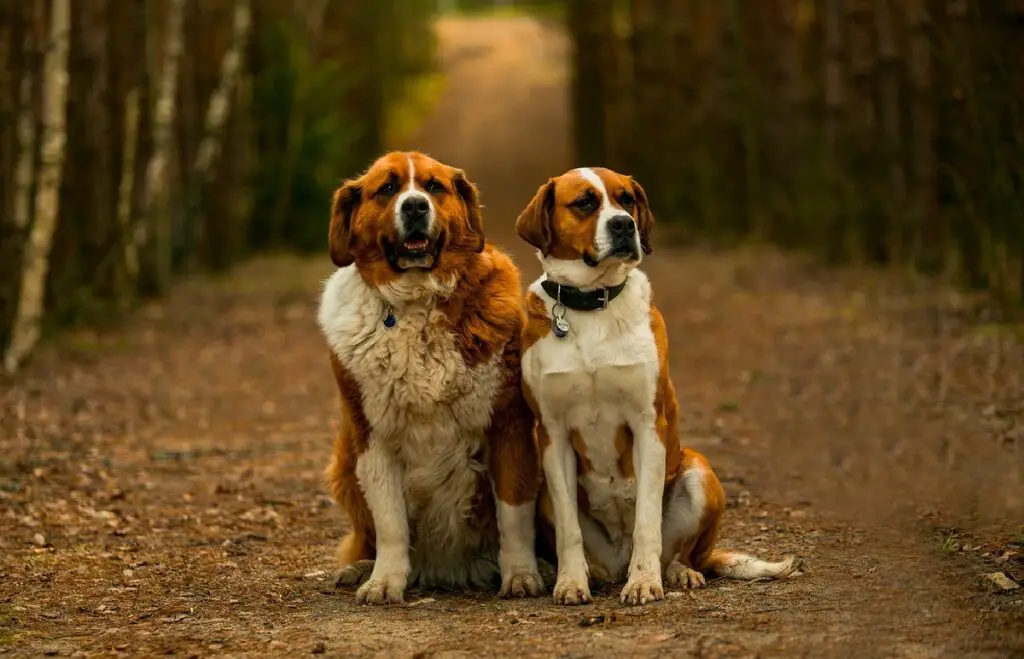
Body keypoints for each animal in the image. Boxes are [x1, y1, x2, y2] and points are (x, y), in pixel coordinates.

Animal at [317, 151, 544, 605]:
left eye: (433, 186)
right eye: (387, 189)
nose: (415, 206)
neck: (415, 303)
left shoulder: (508, 425)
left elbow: (514, 514)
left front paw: (522, 575)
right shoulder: (372, 436)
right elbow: (390, 521)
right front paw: (385, 581)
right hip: (344, 461)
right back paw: (359, 568)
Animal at [516, 167, 794, 605]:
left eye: (626, 199)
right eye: (585, 202)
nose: (623, 225)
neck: (592, 304)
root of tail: (617, 557)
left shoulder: (648, 425)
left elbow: (647, 518)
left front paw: (644, 582)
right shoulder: (553, 434)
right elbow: (568, 531)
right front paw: (571, 582)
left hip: (698, 471)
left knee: (681, 553)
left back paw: (677, 573)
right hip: (544, 489)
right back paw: (595, 574)